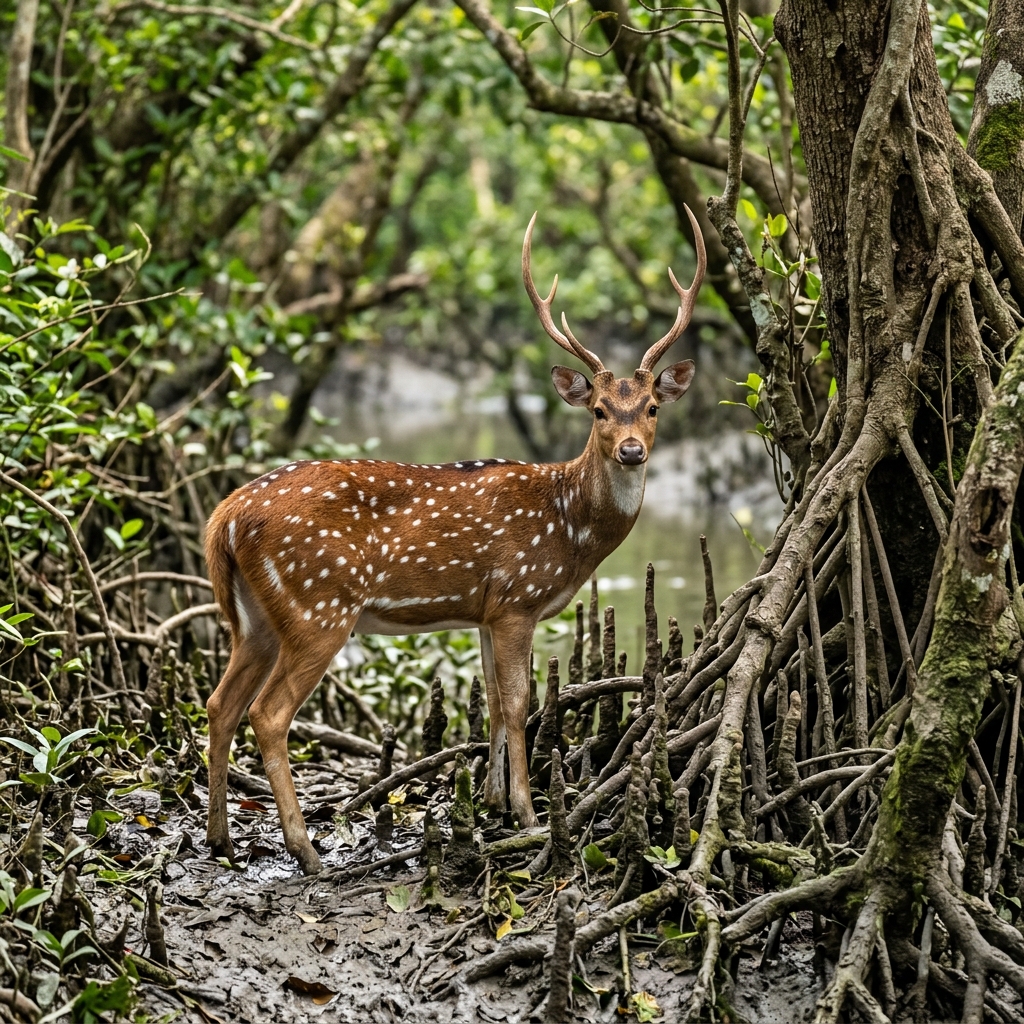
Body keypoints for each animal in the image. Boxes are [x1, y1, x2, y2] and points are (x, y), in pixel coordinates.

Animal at [203, 207, 705, 874]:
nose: (631, 451)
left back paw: (220, 839)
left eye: (651, 407)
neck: (569, 526)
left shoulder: (487, 610)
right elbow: (519, 703)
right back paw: (305, 850)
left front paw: (491, 804)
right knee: (268, 713)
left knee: (220, 704)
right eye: (598, 409)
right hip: (319, 604)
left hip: (255, 616)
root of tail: (224, 517)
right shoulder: (519, 596)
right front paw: (527, 814)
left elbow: (492, 700)